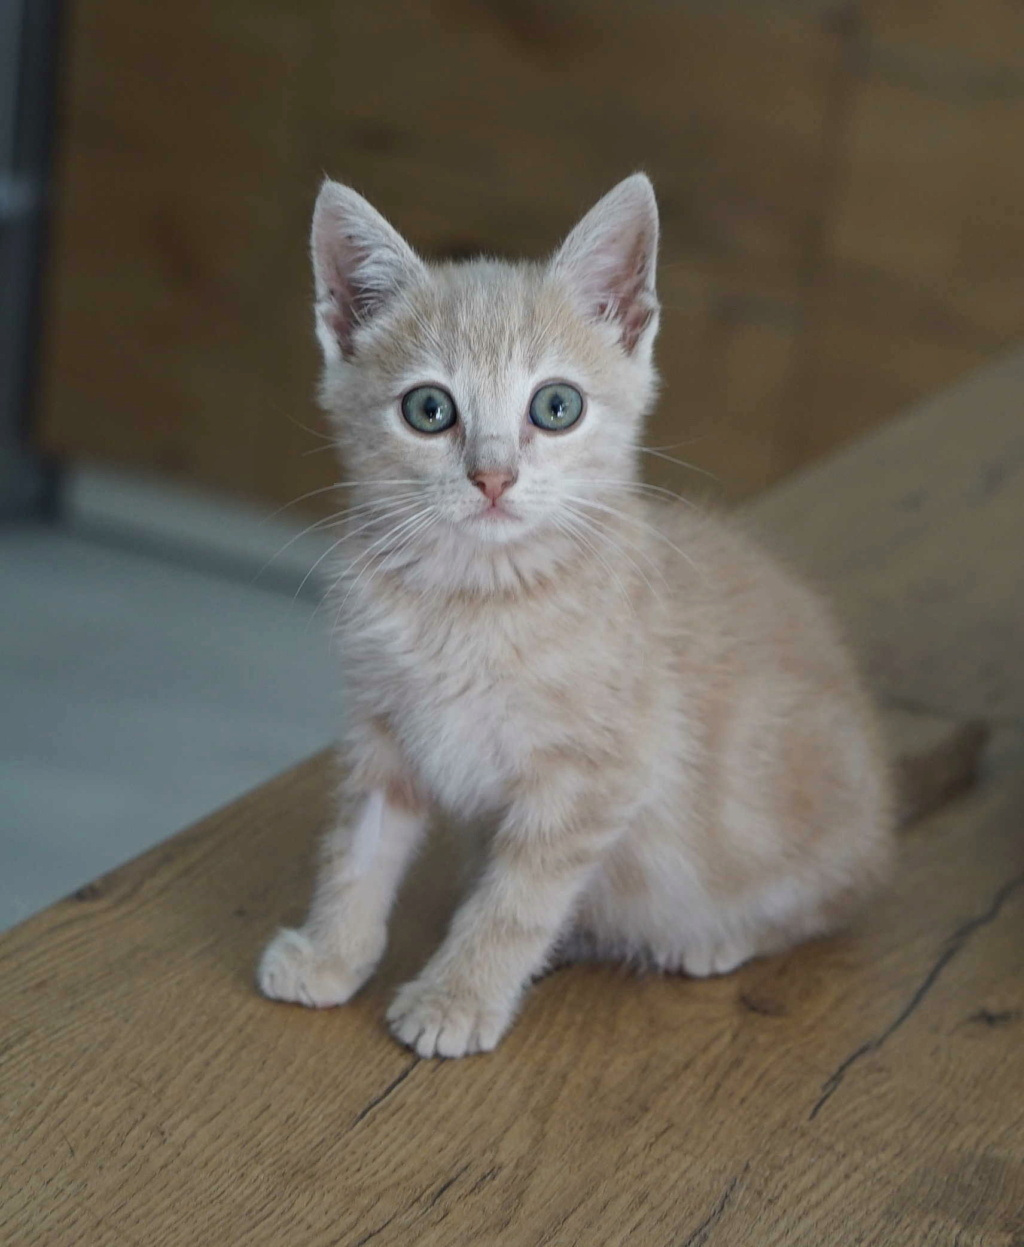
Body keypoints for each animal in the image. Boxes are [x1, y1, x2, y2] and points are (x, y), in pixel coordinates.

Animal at [258, 173, 893, 1052]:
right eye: (429, 410)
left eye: (555, 406)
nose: (493, 477)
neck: (472, 599)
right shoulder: (385, 731)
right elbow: (357, 850)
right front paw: (331, 952)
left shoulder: (598, 773)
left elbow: (515, 899)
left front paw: (457, 995)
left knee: (825, 901)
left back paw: (715, 937)